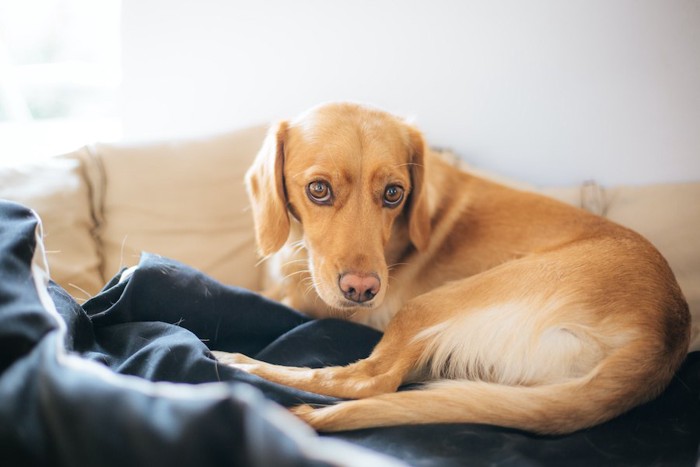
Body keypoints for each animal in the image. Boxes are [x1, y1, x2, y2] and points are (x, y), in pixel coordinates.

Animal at [213, 102, 688, 436]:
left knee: (367, 379)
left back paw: (242, 364)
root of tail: (664, 337)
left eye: (393, 193)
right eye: (318, 189)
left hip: (430, 304)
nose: (363, 290)